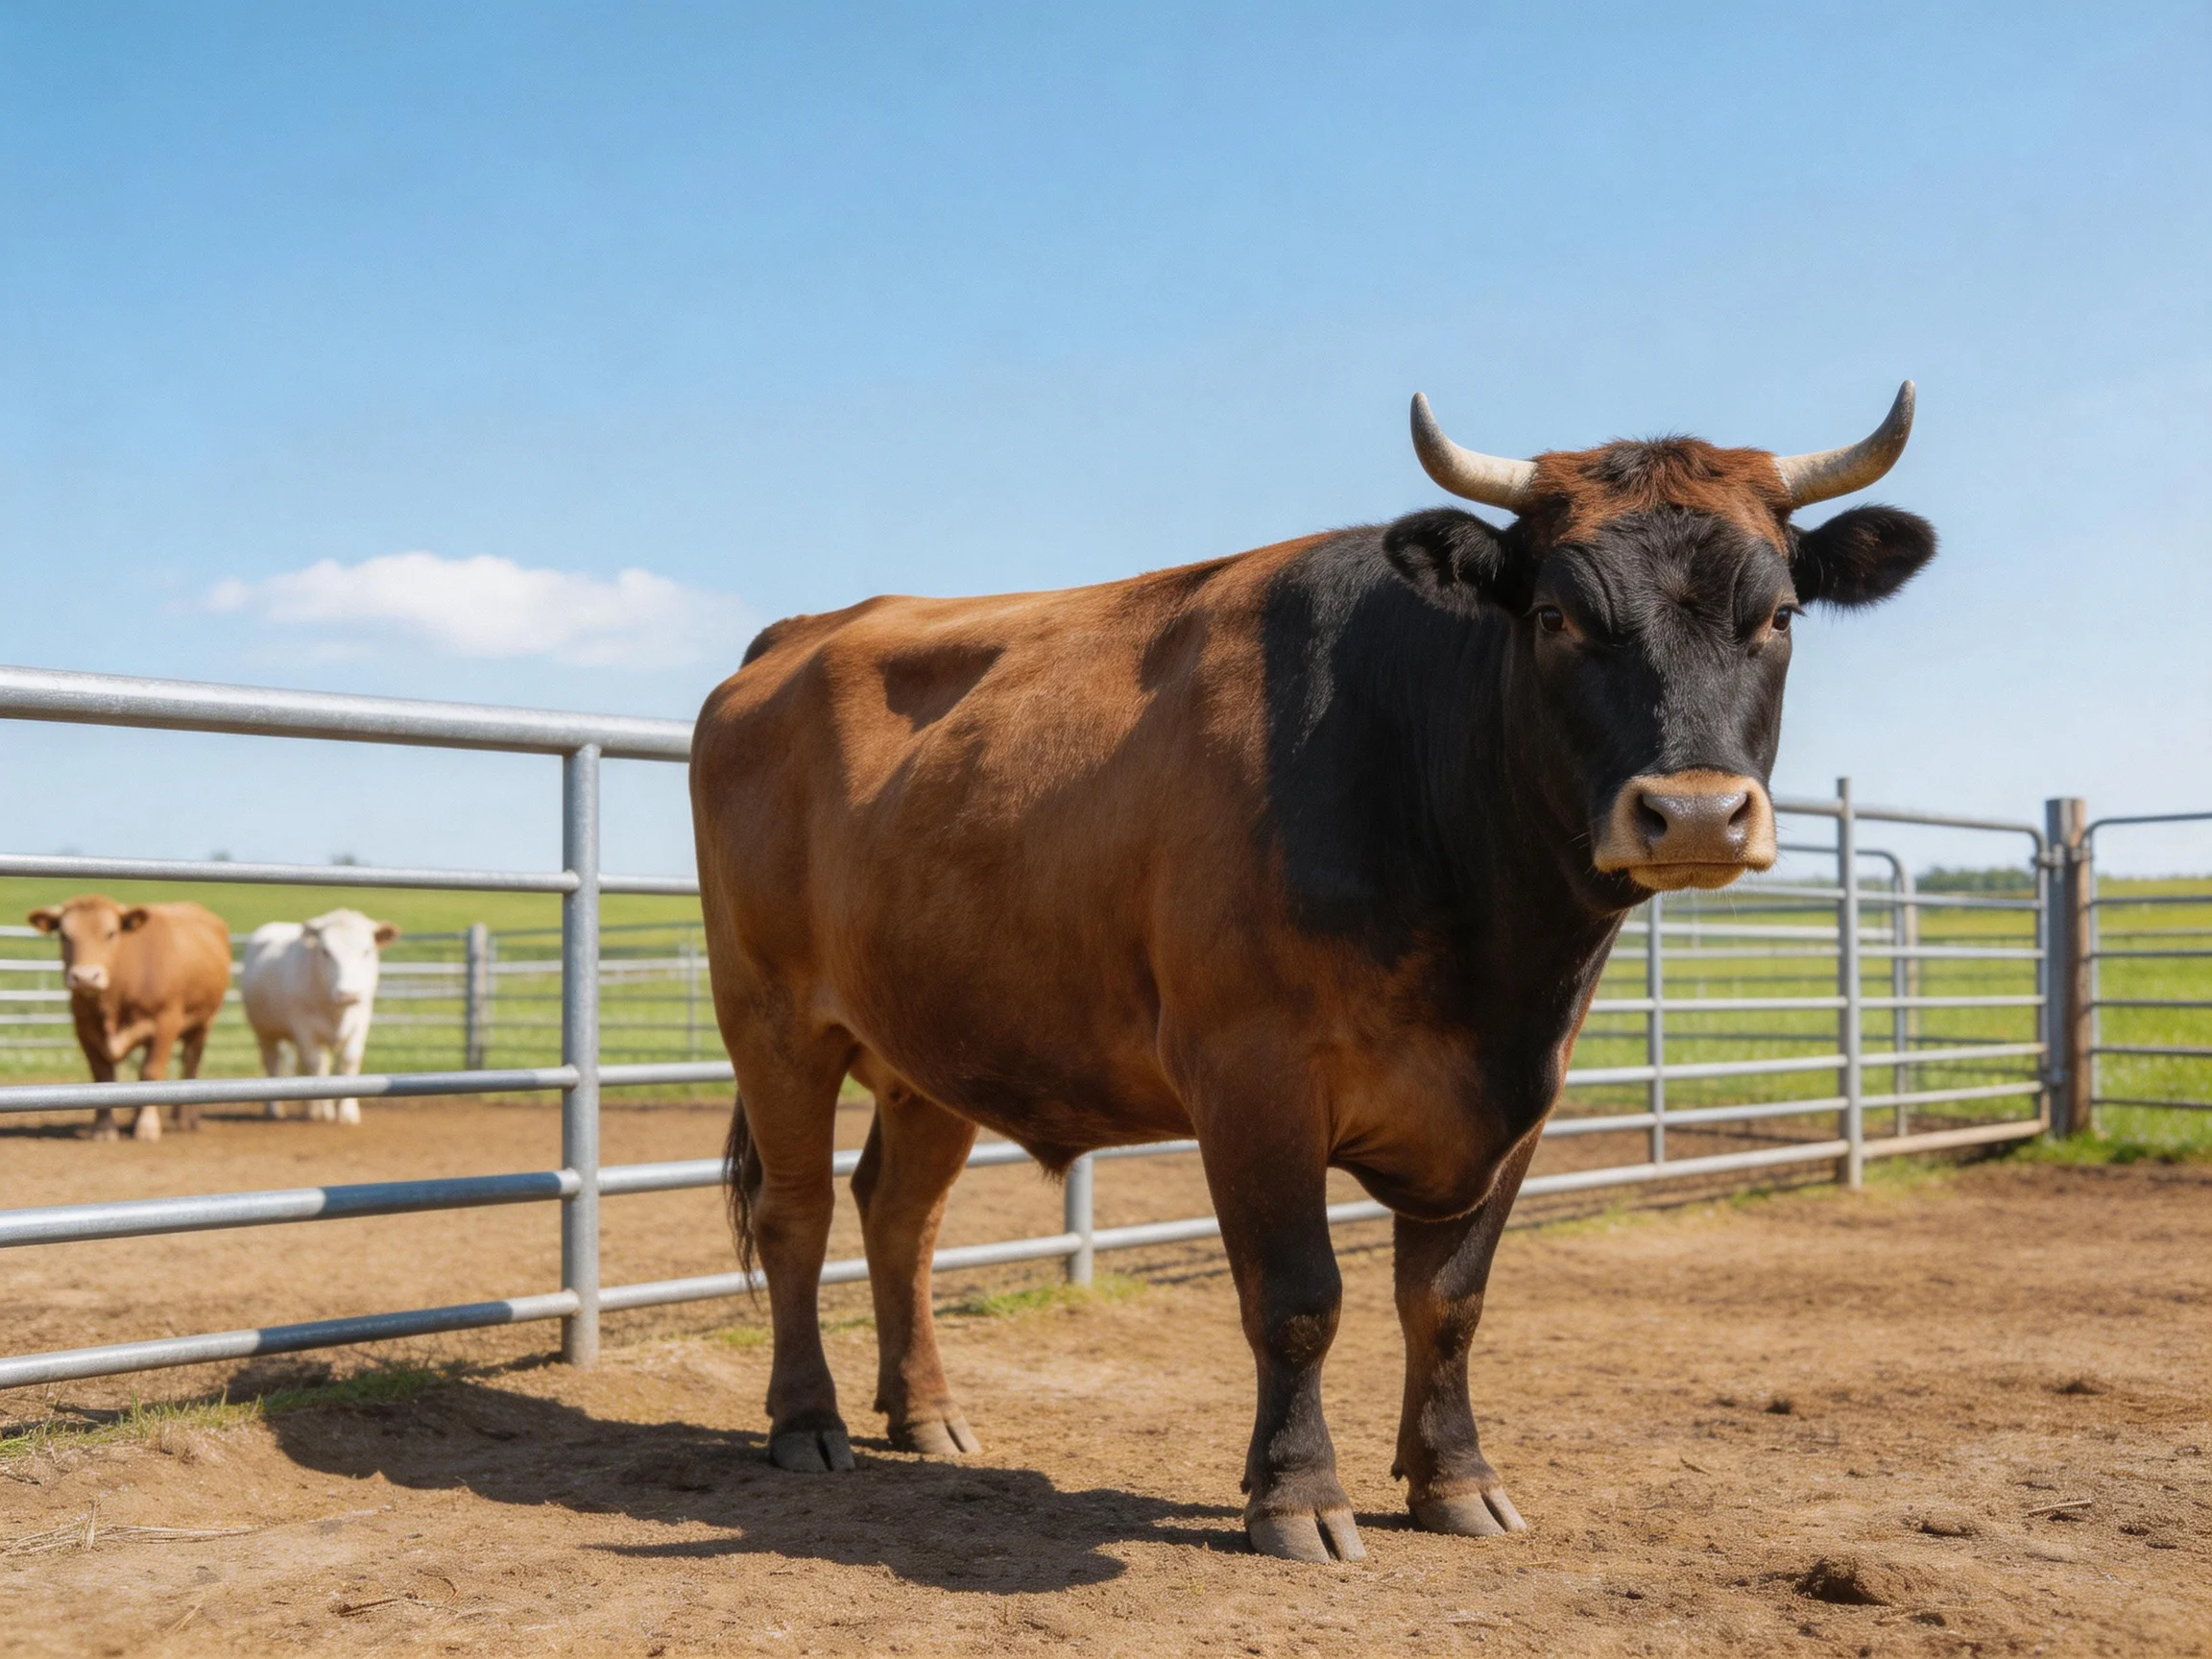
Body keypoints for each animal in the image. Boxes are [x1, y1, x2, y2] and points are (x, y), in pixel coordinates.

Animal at [27, 896, 233, 1142]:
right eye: (65, 935)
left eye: (111, 933)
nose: (85, 977)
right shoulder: (85, 1030)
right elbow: (102, 1076)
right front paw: (104, 1128)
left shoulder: (165, 1023)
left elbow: (151, 1072)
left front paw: (147, 1127)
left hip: (203, 1023)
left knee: (190, 1063)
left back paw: (185, 1119)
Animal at [239, 909, 400, 1124]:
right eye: (326, 951)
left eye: (367, 951)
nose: (347, 995)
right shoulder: (303, 1025)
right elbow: (316, 1065)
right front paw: (321, 1111)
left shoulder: (361, 1019)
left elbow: (349, 1059)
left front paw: (346, 1113)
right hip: (266, 1032)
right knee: (273, 1062)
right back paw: (275, 1108)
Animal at [689, 385, 1937, 1562]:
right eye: (1555, 615)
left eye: (1778, 615)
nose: (1693, 812)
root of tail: (800, 635)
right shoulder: (1252, 1076)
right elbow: (1297, 1298)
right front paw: (1297, 1496)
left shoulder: (1520, 1100)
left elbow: (1448, 1300)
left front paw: (1455, 1481)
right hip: (771, 1019)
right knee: (798, 1213)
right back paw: (810, 1421)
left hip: (930, 1046)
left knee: (900, 1214)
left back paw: (927, 1415)